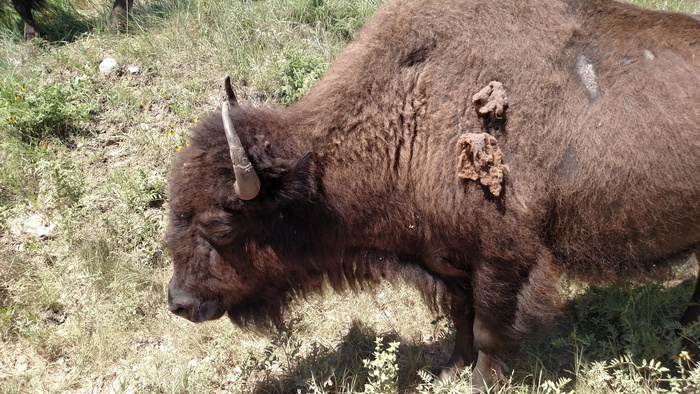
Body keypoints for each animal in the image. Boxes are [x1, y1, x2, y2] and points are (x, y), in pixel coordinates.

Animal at [165, 0, 700, 390]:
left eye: (221, 226)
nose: (180, 302)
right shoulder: (447, 258)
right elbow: (461, 317)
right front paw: (447, 369)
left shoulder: (502, 256)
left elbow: (488, 325)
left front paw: (480, 381)